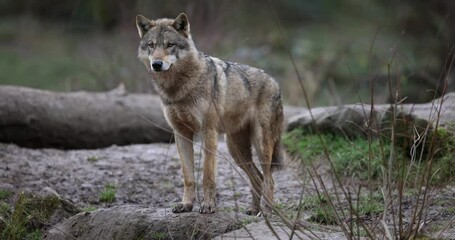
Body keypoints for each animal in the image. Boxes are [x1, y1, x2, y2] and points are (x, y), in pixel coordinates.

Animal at [135, 12, 284, 216]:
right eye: (151, 45)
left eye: (170, 44)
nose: (156, 64)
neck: (178, 88)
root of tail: (275, 82)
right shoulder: (181, 134)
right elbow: (188, 177)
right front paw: (186, 205)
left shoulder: (209, 132)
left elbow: (207, 176)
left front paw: (208, 206)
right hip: (236, 150)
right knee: (258, 177)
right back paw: (254, 210)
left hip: (260, 145)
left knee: (269, 178)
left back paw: (267, 212)